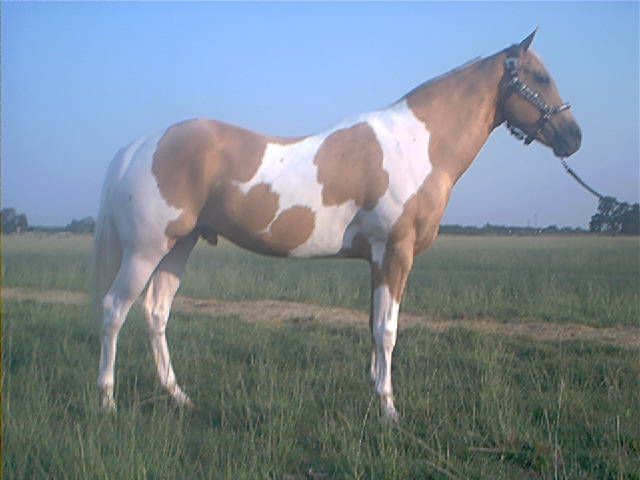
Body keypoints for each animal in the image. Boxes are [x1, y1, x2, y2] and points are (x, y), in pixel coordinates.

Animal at [92, 30, 581, 419]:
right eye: (540, 77)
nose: (574, 137)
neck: (418, 143)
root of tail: (138, 147)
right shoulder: (395, 253)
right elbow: (388, 330)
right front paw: (389, 410)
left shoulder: (378, 260)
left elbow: (373, 326)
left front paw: (377, 394)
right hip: (145, 251)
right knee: (115, 310)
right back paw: (108, 401)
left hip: (179, 246)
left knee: (156, 312)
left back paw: (178, 396)